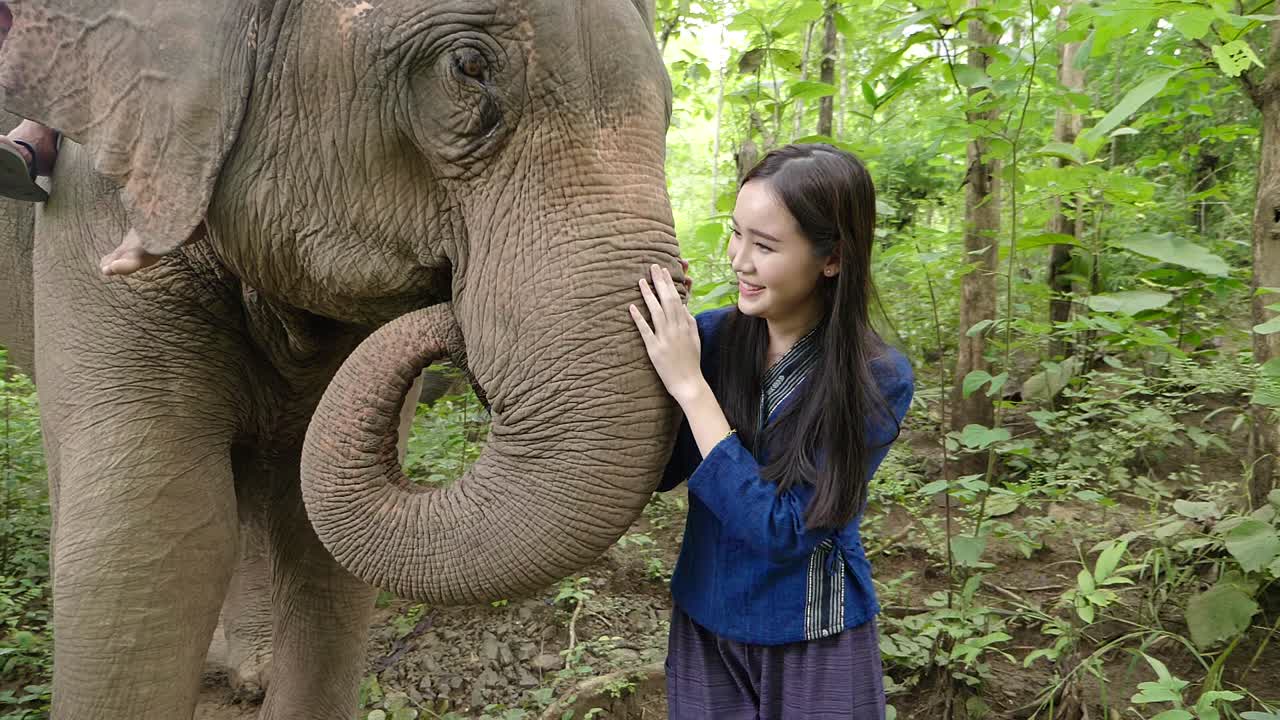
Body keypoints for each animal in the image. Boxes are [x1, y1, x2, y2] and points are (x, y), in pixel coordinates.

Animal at [0, 1, 681, 718]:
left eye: (666, 109)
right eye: (468, 67)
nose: (454, 319)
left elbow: (314, 535)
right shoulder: (101, 207)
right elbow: (151, 532)